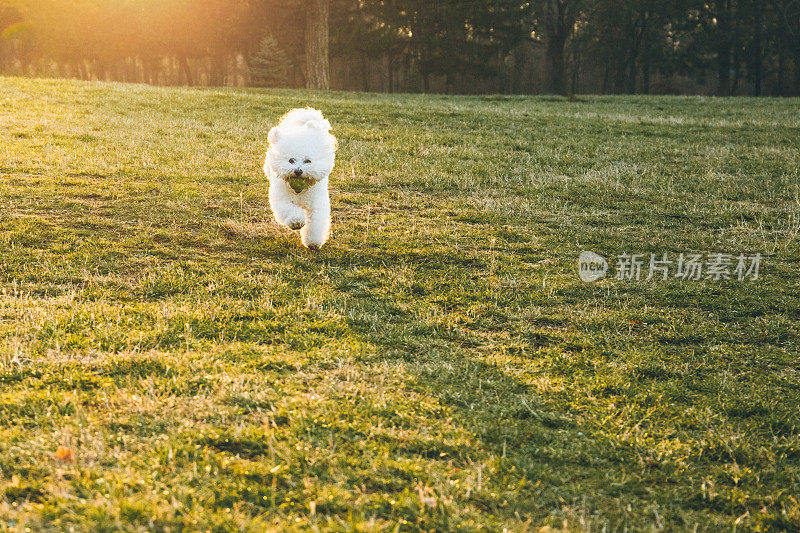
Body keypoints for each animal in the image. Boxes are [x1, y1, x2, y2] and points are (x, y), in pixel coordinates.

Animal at [264, 108, 336, 251]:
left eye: (308, 161)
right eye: (291, 160)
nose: (298, 171)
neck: (300, 192)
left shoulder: (317, 204)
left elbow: (316, 223)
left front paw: (313, 241)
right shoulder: (281, 199)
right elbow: (289, 210)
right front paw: (297, 221)